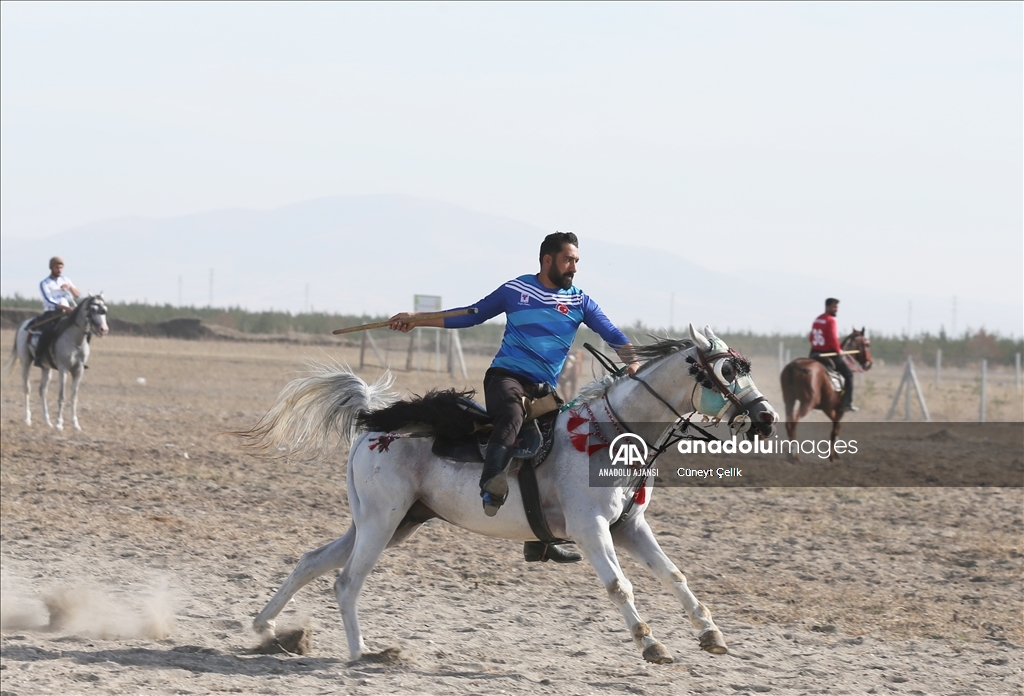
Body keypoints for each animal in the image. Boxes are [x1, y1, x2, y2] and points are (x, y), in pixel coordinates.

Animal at [3, 294, 109, 433]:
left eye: (104, 310)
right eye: (92, 309)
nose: (104, 329)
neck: (75, 340)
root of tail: (24, 324)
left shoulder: (79, 370)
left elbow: (74, 397)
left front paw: (75, 424)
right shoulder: (63, 369)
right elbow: (62, 396)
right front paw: (59, 424)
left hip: (45, 368)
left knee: (42, 390)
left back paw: (47, 421)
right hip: (25, 362)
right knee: (27, 388)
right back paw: (27, 419)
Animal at [241, 323, 774, 667]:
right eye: (728, 372)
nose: (766, 418)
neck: (607, 432)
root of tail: (375, 424)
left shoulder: (629, 528)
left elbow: (674, 576)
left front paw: (710, 633)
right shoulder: (591, 530)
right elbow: (619, 586)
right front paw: (650, 644)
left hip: (393, 522)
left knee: (313, 561)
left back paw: (267, 629)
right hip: (381, 522)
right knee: (347, 581)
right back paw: (362, 653)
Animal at [782, 329, 872, 458]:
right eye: (867, 344)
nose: (869, 363)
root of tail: (794, 366)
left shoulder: (828, 408)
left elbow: (835, 425)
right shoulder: (840, 409)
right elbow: (836, 426)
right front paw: (834, 454)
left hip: (789, 400)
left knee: (788, 420)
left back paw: (790, 453)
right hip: (807, 403)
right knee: (794, 419)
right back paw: (795, 454)